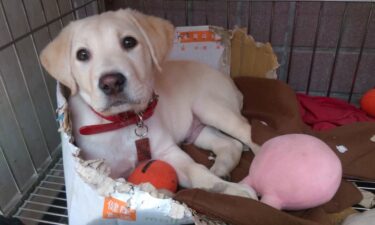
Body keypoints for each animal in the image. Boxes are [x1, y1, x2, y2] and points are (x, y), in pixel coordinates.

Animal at [40, 8, 258, 199]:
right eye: (82, 55)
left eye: (129, 42)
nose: (111, 83)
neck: (124, 121)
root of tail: (229, 81)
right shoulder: (108, 175)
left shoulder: (168, 151)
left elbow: (198, 171)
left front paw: (233, 191)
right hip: (196, 129)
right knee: (231, 144)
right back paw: (221, 169)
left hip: (211, 107)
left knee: (247, 134)